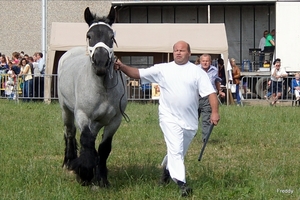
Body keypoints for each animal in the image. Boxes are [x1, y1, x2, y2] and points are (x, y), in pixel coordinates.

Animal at [56, 6, 127, 188]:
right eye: (89, 36)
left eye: (111, 37)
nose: (100, 63)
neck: (102, 89)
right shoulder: (83, 115)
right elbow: (86, 140)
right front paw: (85, 174)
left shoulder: (115, 120)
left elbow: (103, 148)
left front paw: (101, 178)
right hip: (66, 110)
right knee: (70, 133)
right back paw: (69, 163)